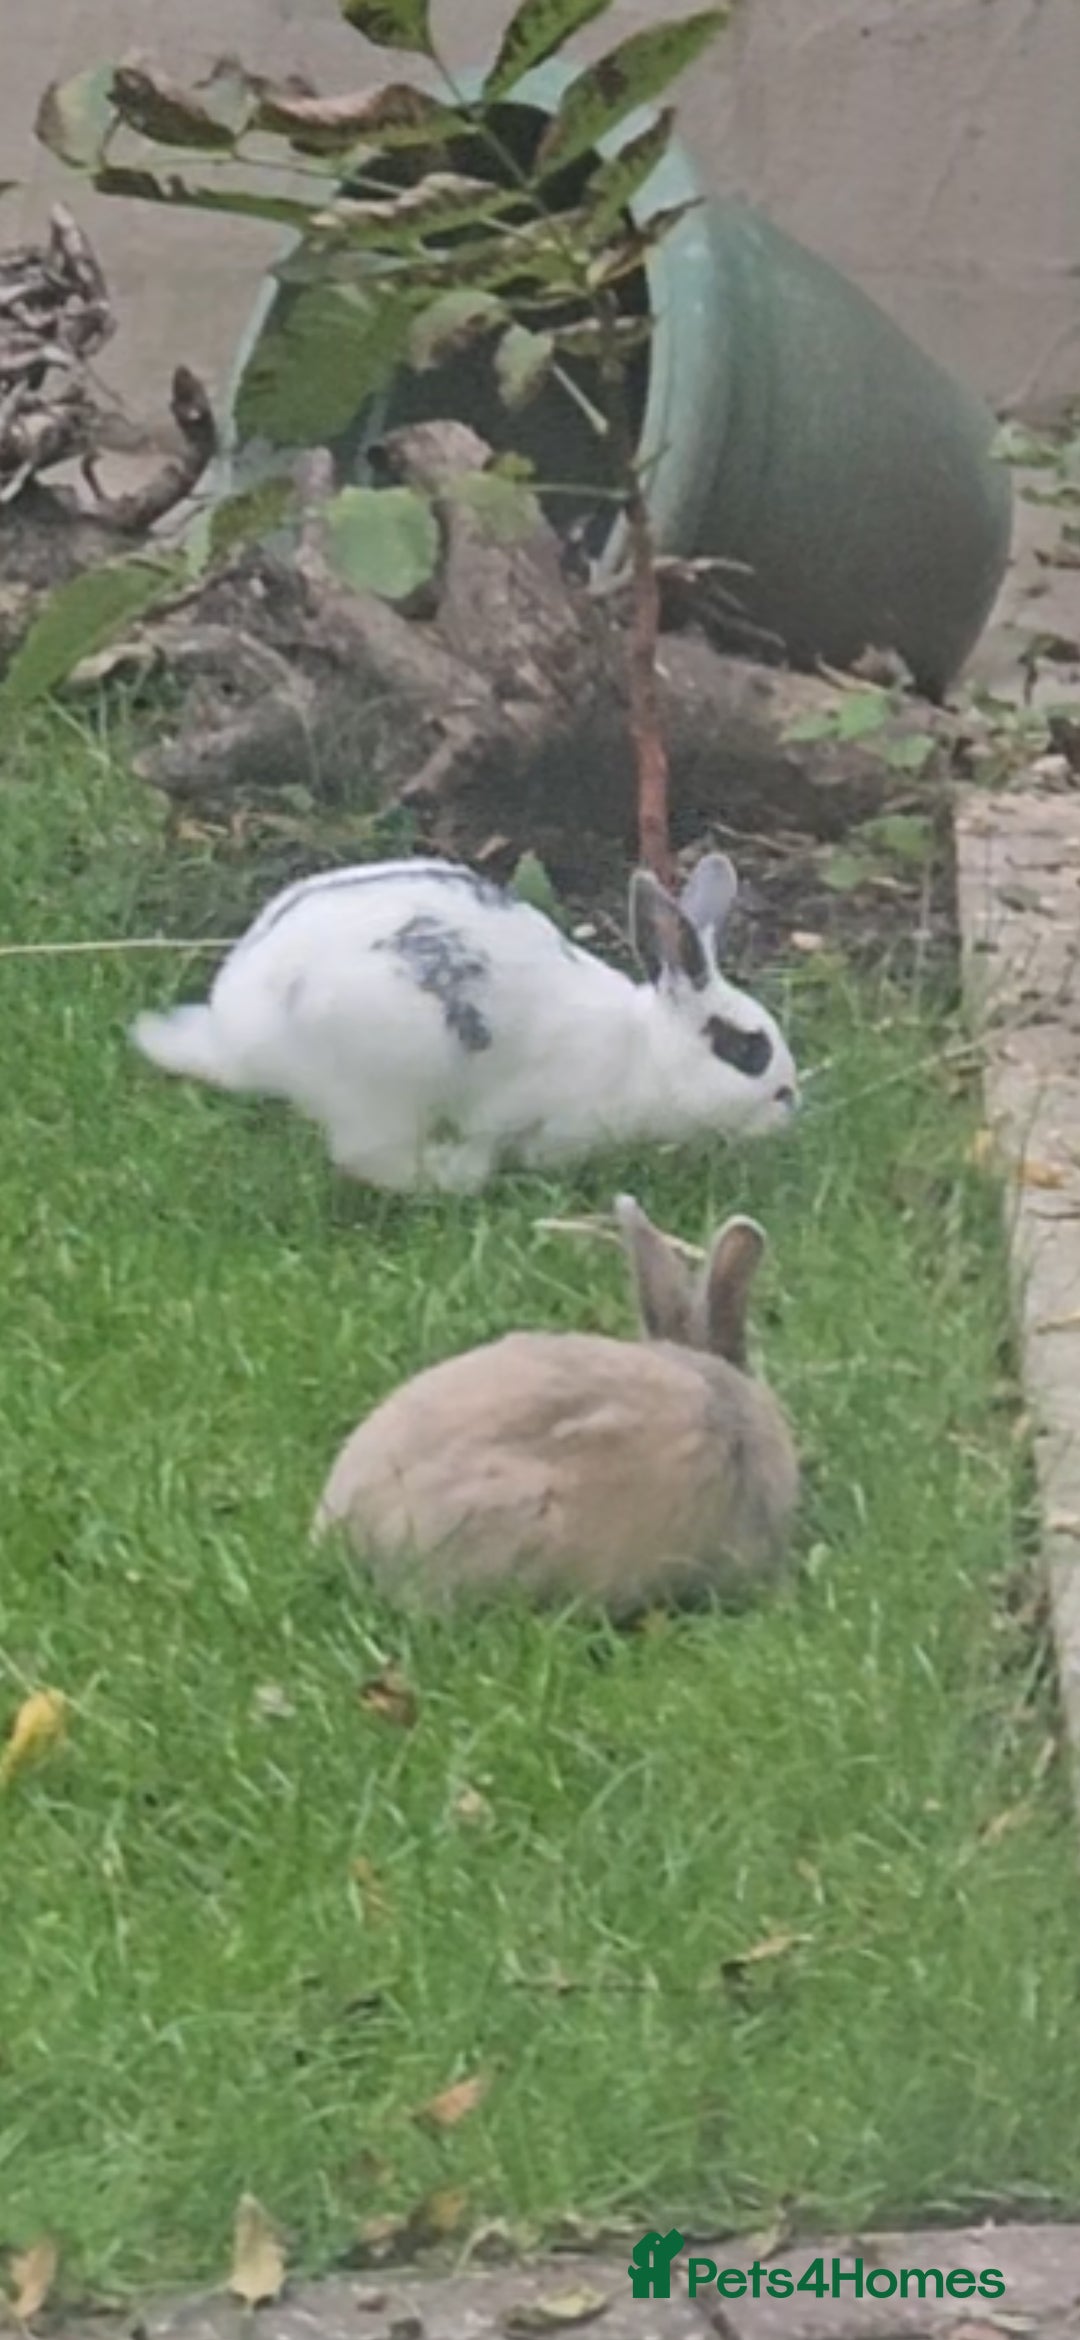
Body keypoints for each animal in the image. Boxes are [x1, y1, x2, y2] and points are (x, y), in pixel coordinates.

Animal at [131, 851, 798, 1195]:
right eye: (745, 1050)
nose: (790, 1101)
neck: (643, 1052)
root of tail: (235, 1040)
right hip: (382, 1088)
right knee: (371, 1157)